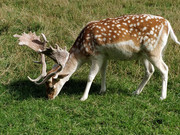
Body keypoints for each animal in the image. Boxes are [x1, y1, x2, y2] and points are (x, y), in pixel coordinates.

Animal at [14, 14, 180, 101]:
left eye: (51, 85)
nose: (49, 97)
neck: (82, 52)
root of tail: (168, 24)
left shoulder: (96, 55)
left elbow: (90, 76)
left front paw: (83, 97)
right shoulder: (105, 56)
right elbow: (103, 72)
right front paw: (102, 90)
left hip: (154, 51)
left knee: (164, 69)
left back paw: (162, 97)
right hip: (144, 54)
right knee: (149, 71)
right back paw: (136, 92)